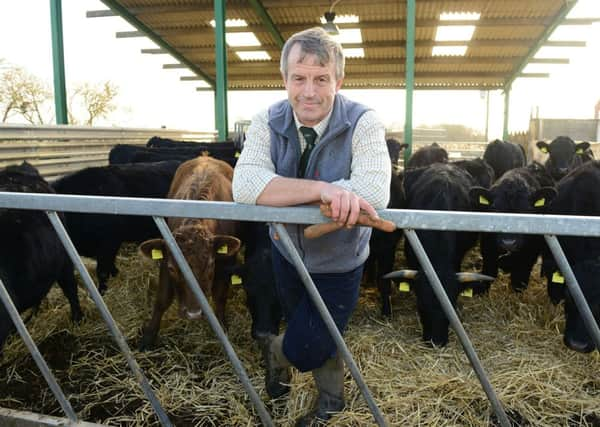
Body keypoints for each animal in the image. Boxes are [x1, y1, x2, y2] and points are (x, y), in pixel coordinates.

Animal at [468, 163, 556, 294]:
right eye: (494, 210)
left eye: (527, 212)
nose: (509, 242)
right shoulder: (488, 247)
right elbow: (488, 271)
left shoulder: (529, 253)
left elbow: (519, 278)